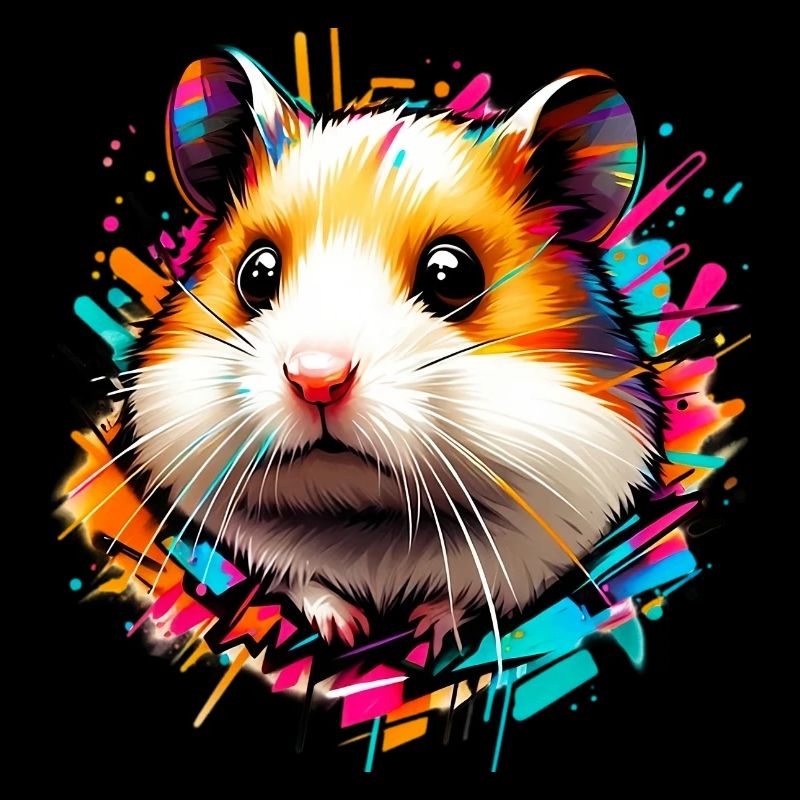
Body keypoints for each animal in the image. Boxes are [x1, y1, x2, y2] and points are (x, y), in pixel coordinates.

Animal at [127, 48, 659, 651]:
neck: (365, 522)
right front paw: (345, 630)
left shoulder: (549, 535)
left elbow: (470, 596)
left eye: (451, 273)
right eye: (257, 272)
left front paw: (428, 633)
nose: (317, 380)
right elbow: (302, 581)